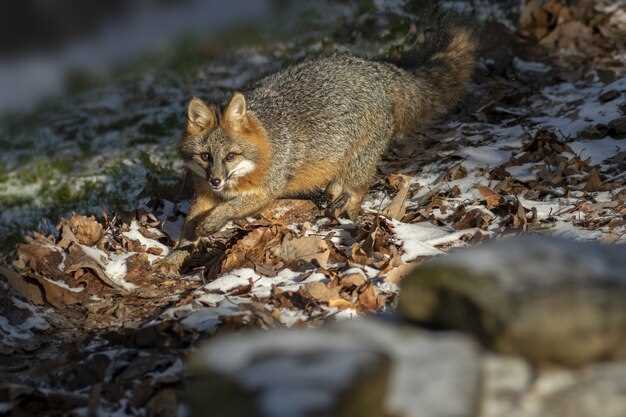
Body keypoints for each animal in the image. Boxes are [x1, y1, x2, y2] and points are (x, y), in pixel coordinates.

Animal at [158, 11, 476, 272]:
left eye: (230, 156)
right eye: (205, 156)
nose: (216, 180)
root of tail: (374, 67)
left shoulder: (266, 190)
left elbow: (230, 208)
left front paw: (212, 223)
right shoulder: (203, 196)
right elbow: (187, 230)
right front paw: (174, 258)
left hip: (357, 164)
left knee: (358, 189)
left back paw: (349, 215)